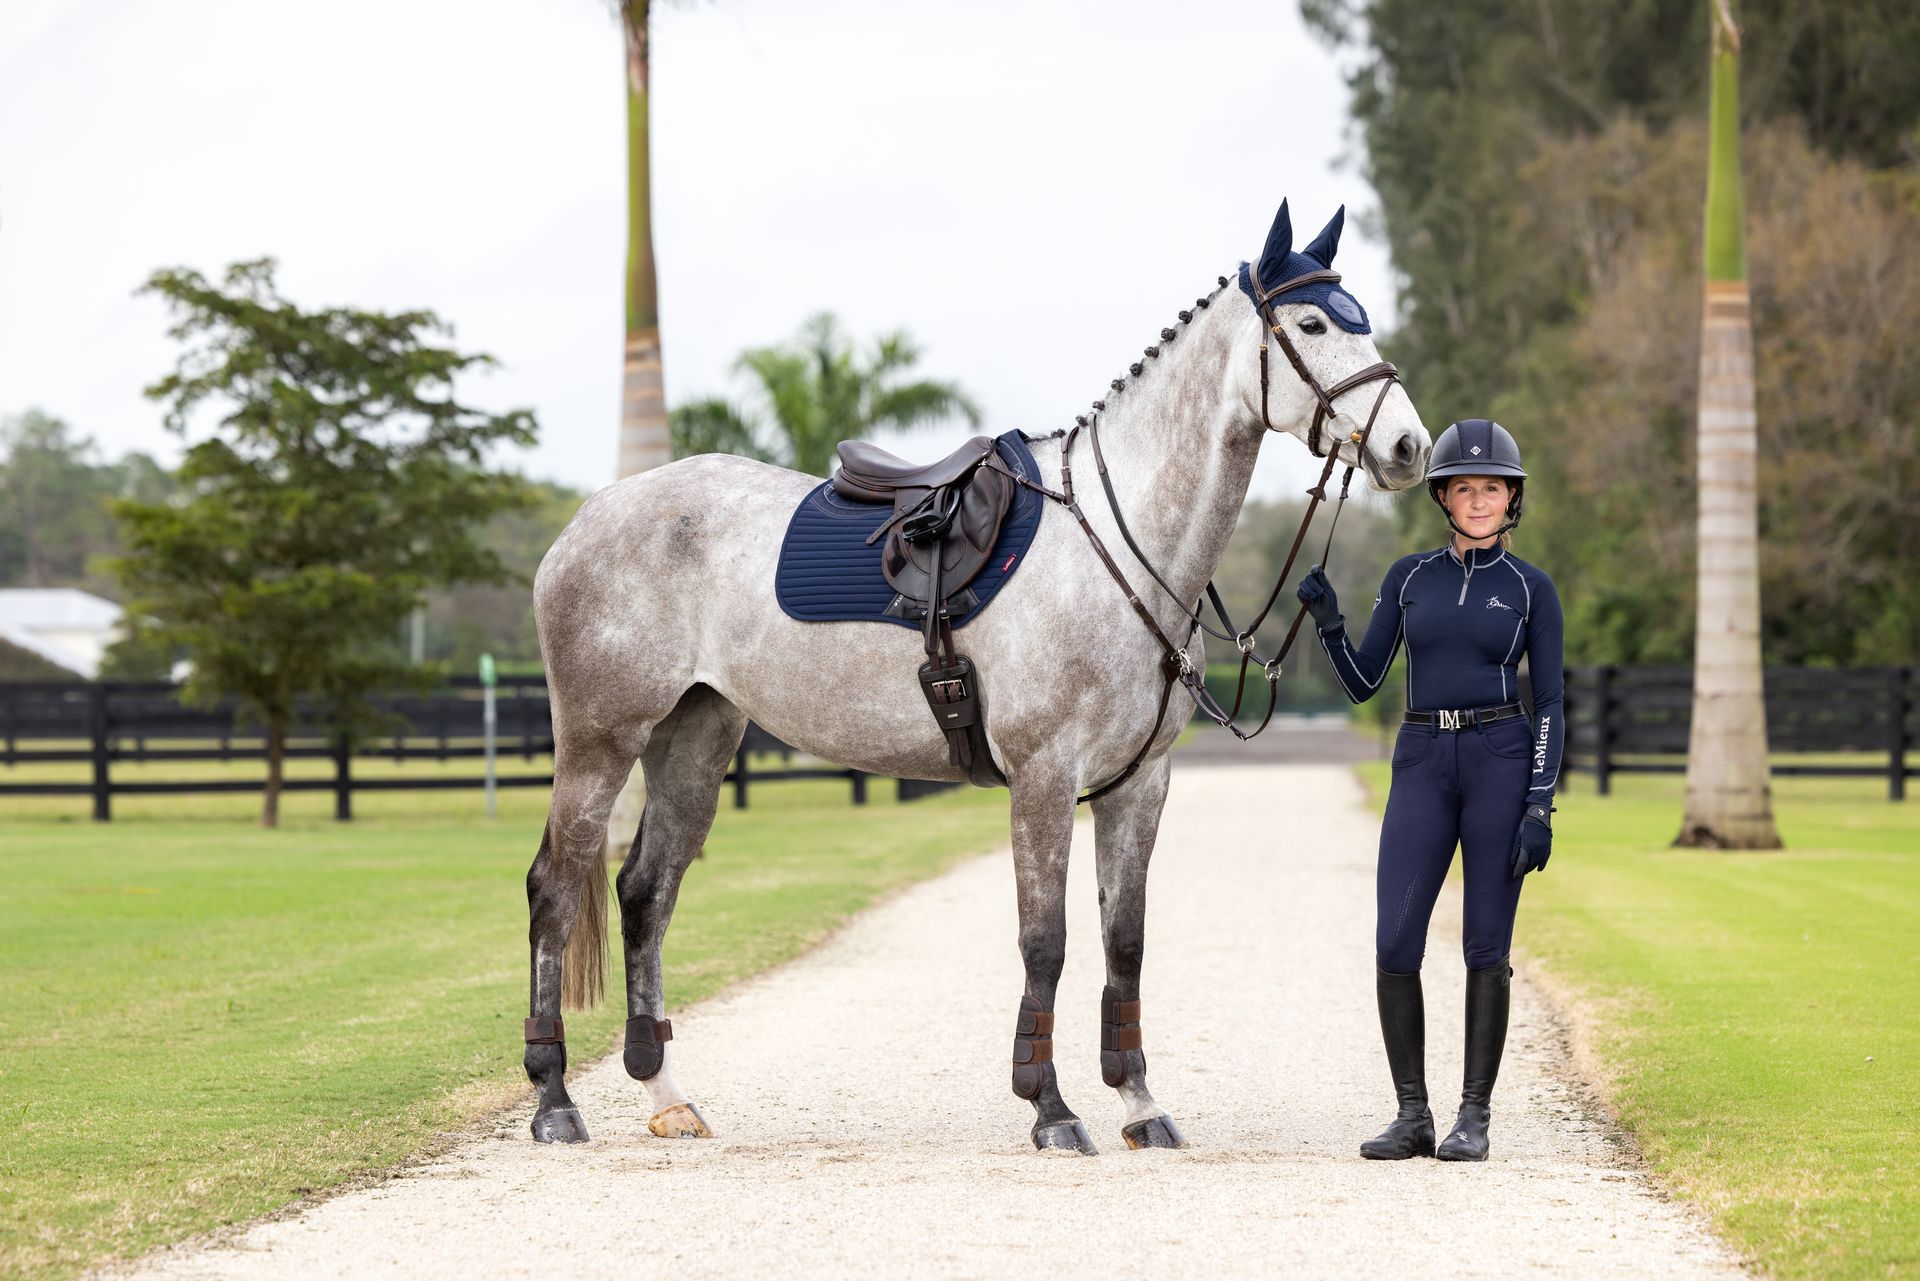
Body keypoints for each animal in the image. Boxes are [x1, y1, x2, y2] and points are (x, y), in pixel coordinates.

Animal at [520, 199, 1430, 1154]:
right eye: (1314, 324)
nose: (1409, 445)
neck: (1113, 543)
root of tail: (587, 519)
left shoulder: (1139, 784)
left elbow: (1125, 942)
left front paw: (1139, 1102)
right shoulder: (1043, 777)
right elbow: (1046, 941)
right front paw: (1052, 1107)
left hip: (694, 740)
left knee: (644, 891)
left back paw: (665, 1092)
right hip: (601, 741)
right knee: (556, 887)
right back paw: (554, 1099)